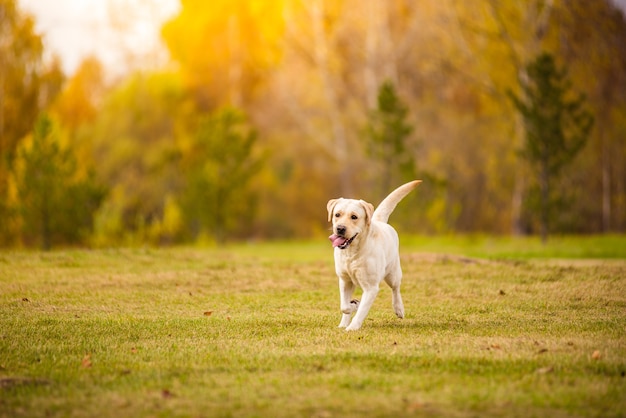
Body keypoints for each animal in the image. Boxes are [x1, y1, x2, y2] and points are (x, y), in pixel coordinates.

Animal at [326, 181, 420, 332]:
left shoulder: (371, 288)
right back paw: (343, 323)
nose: (340, 228)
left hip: (393, 273)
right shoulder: (345, 280)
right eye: (337, 214)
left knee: (396, 289)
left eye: (354, 217)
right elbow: (344, 306)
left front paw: (353, 327)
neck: (352, 254)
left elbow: (361, 311)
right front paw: (353, 305)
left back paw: (399, 308)